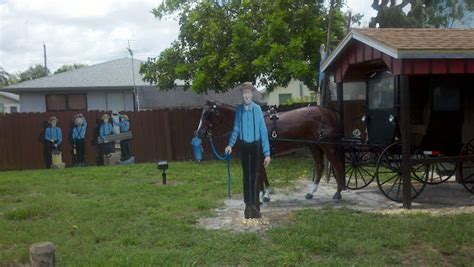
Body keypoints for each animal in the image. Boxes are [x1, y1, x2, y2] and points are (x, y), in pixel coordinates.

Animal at [194, 102, 346, 201]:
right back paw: (311, 193)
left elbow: (260, 173)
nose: (198, 133)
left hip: (326, 145)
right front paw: (264, 194)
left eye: (208, 114)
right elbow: (262, 173)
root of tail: (329, 112)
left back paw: (338, 193)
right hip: (314, 146)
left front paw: (263, 195)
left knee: (337, 165)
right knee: (320, 166)